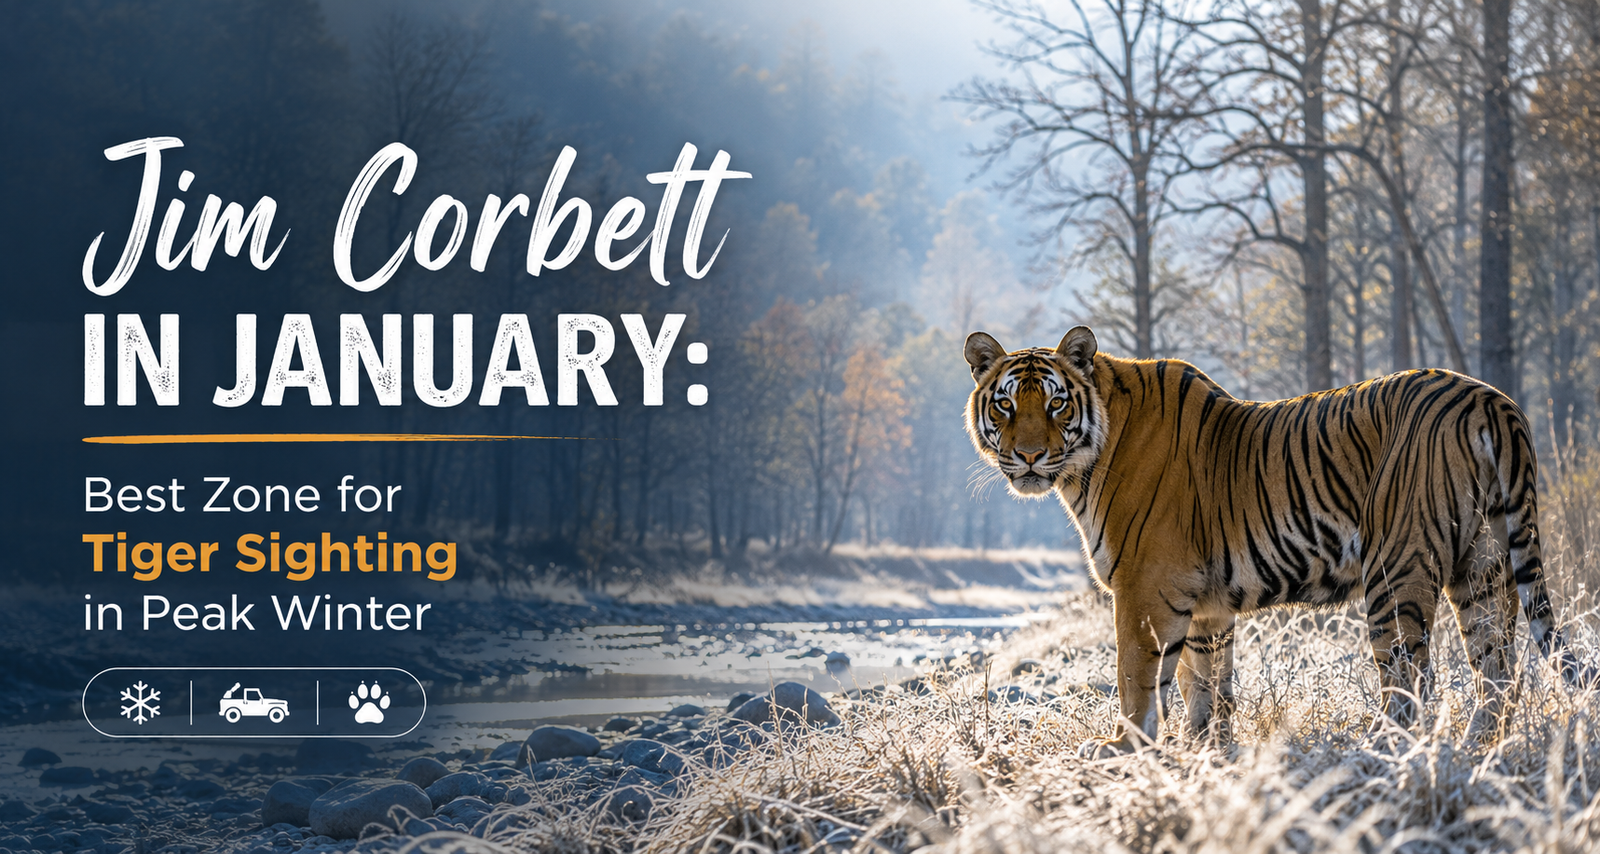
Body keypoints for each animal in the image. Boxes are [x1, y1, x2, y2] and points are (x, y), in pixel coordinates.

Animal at [963, 325, 1590, 754]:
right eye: (1005, 403)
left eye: (1055, 402)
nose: (1028, 456)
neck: (1086, 462)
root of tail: (1491, 399)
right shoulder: (1206, 608)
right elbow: (1205, 687)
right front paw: (1204, 752)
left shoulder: (1144, 589)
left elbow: (1137, 679)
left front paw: (1123, 750)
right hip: (1483, 565)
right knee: (1499, 672)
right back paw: (1483, 750)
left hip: (1397, 570)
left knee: (1413, 679)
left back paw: (1382, 752)